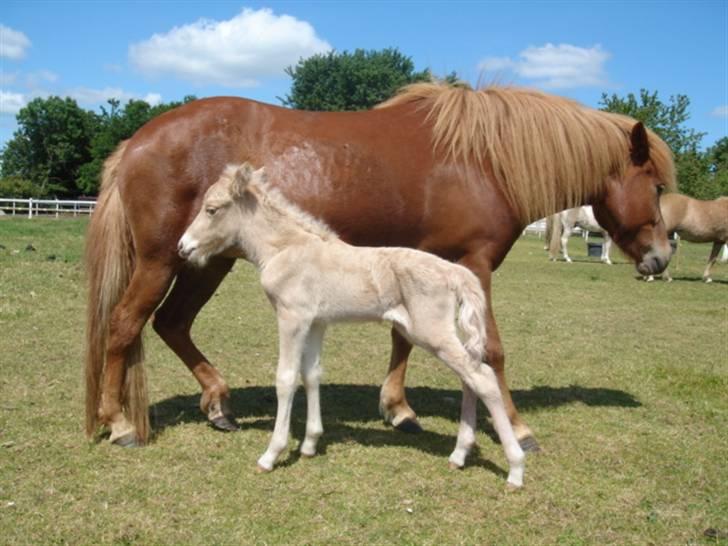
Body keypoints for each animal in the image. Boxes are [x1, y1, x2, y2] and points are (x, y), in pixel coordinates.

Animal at [179, 162, 528, 484]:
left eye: (212, 209)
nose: (183, 247)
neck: (287, 250)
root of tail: (454, 272)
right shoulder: (316, 323)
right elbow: (311, 374)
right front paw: (310, 444)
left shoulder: (292, 318)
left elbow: (286, 378)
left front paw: (271, 454)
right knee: (470, 377)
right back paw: (459, 455)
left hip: (432, 333)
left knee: (482, 378)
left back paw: (515, 467)